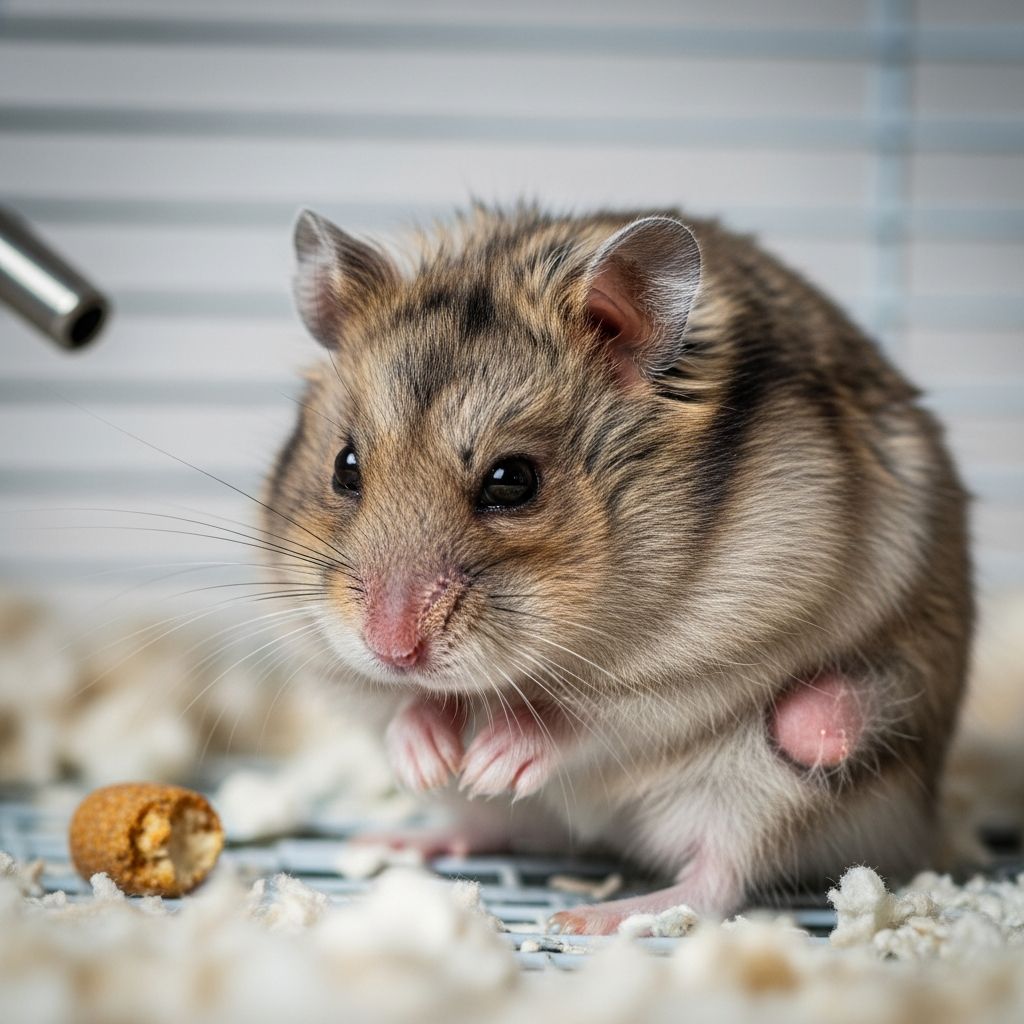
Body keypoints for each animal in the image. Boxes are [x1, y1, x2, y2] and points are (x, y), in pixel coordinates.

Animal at [265, 204, 972, 934]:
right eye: (345, 466)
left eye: (512, 480)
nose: (392, 648)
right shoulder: (326, 652)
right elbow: (399, 701)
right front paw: (429, 759)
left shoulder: (708, 661)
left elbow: (589, 717)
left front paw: (494, 758)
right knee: (497, 828)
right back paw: (403, 836)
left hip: (766, 788)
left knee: (719, 874)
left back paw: (587, 917)